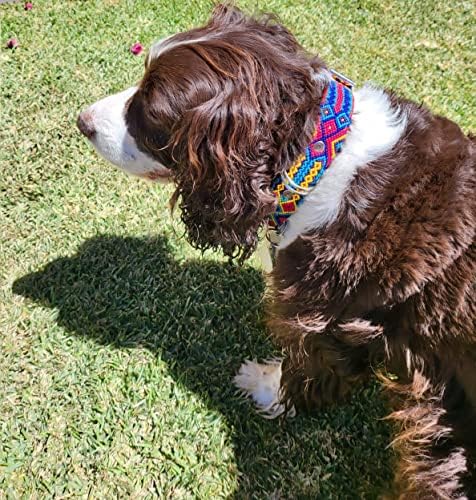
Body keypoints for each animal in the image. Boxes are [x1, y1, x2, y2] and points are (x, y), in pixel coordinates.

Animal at [79, 4, 476, 500]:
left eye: (150, 113)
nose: (83, 120)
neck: (318, 161)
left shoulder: (324, 318)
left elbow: (308, 368)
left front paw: (265, 387)